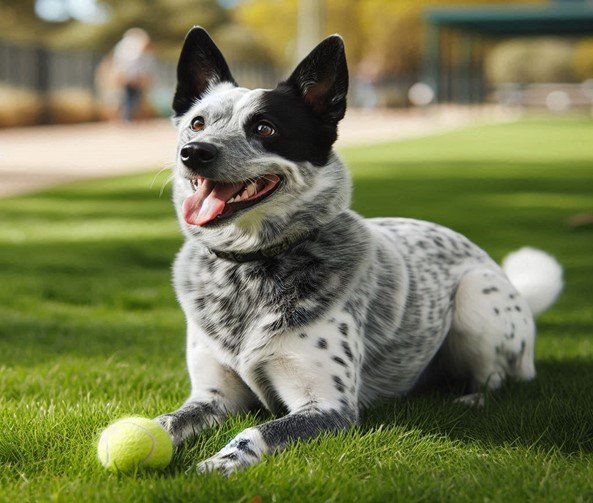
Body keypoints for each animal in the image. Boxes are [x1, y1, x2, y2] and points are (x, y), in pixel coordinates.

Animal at [155, 26, 560, 476]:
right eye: (197, 123)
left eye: (264, 128)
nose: (195, 152)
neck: (249, 267)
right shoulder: (213, 397)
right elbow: (164, 421)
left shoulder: (329, 406)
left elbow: (254, 432)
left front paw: (215, 466)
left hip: (476, 297)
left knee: (498, 377)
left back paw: (472, 398)